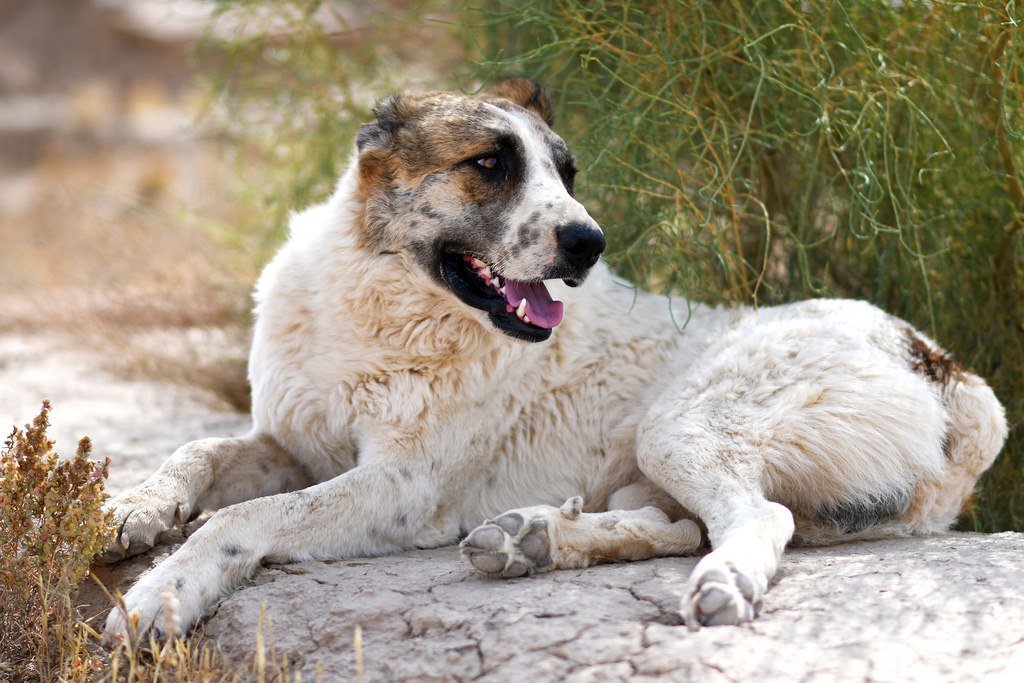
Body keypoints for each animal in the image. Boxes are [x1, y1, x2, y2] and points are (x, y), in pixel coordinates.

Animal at [99, 78, 1003, 634]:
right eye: (488, 164)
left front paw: (162, 593)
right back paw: (532, 539)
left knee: (753, 519)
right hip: (662, 460)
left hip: (684, 425)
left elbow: (244, 518)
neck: (378, 303)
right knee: (678, 523)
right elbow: (200, 449)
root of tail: (946, 369)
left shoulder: (402, 487)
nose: (588, 243)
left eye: (567, 173)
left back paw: (717, 581)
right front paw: (133, 505)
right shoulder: (289, 442)